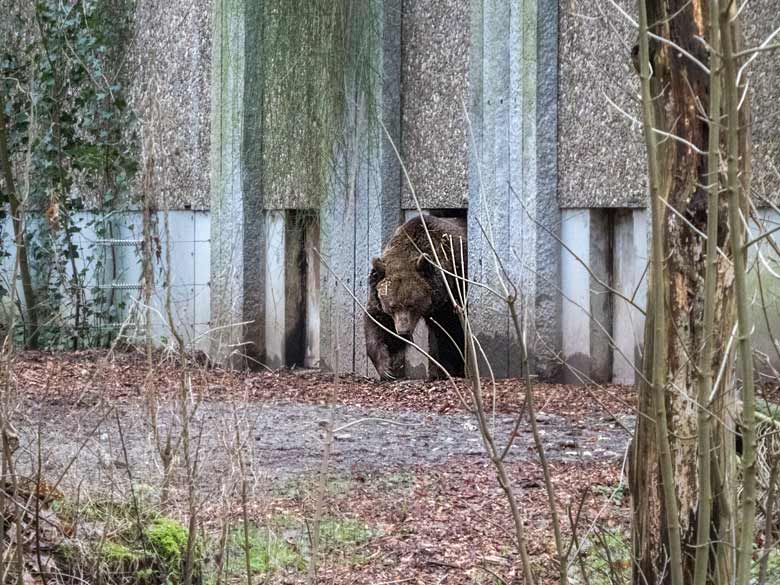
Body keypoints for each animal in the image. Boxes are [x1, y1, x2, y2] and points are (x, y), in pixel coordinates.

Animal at [368, 213, 470, 378]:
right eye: (392, 306)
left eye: (412, 304)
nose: (403, 331)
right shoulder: (378, 289)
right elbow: (378, 323)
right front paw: (386, 366)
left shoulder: (455, 287)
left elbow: (452, 333)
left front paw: (449, 368)